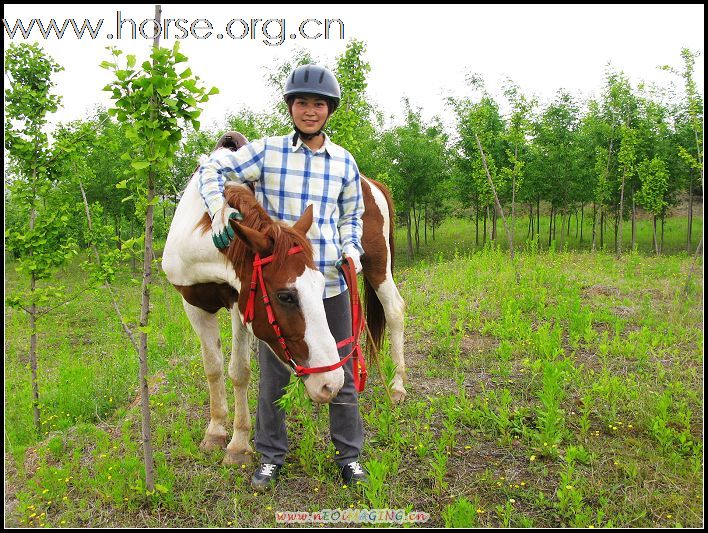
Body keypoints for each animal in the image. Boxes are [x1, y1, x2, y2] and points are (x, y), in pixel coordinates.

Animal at [160, 134, 404, 466]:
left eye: (318, 285)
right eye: (285, 296)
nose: (331, 384)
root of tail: (370, 183)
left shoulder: (239, 305)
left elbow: (239, 371)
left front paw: (238, 444)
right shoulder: (194, 304)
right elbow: (213, 367)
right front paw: (215, 431)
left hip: (378, 266)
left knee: (394, 310)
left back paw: (398, 386)